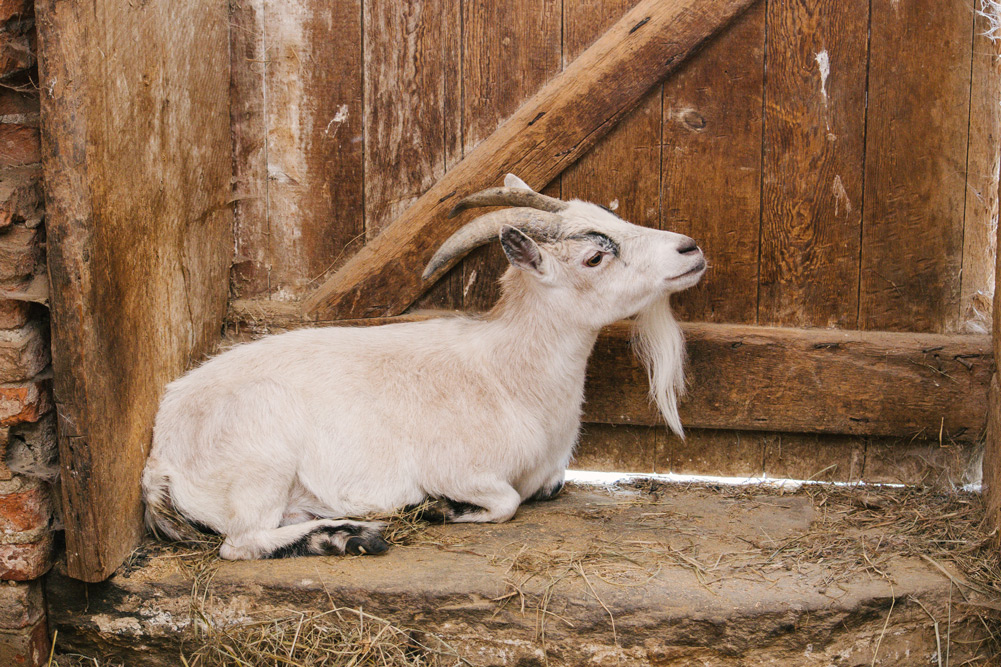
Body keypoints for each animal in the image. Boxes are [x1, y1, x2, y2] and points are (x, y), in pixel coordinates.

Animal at [141, 174, 706, 560]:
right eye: (594, 257)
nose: (690, 248)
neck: (508, 377)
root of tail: (160, 459)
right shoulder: (459, 468)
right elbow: (506, 502)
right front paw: (438, 507)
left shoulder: (549, 473)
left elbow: (548, 486)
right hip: (262, 457)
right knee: (242, 542)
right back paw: (355, 537)